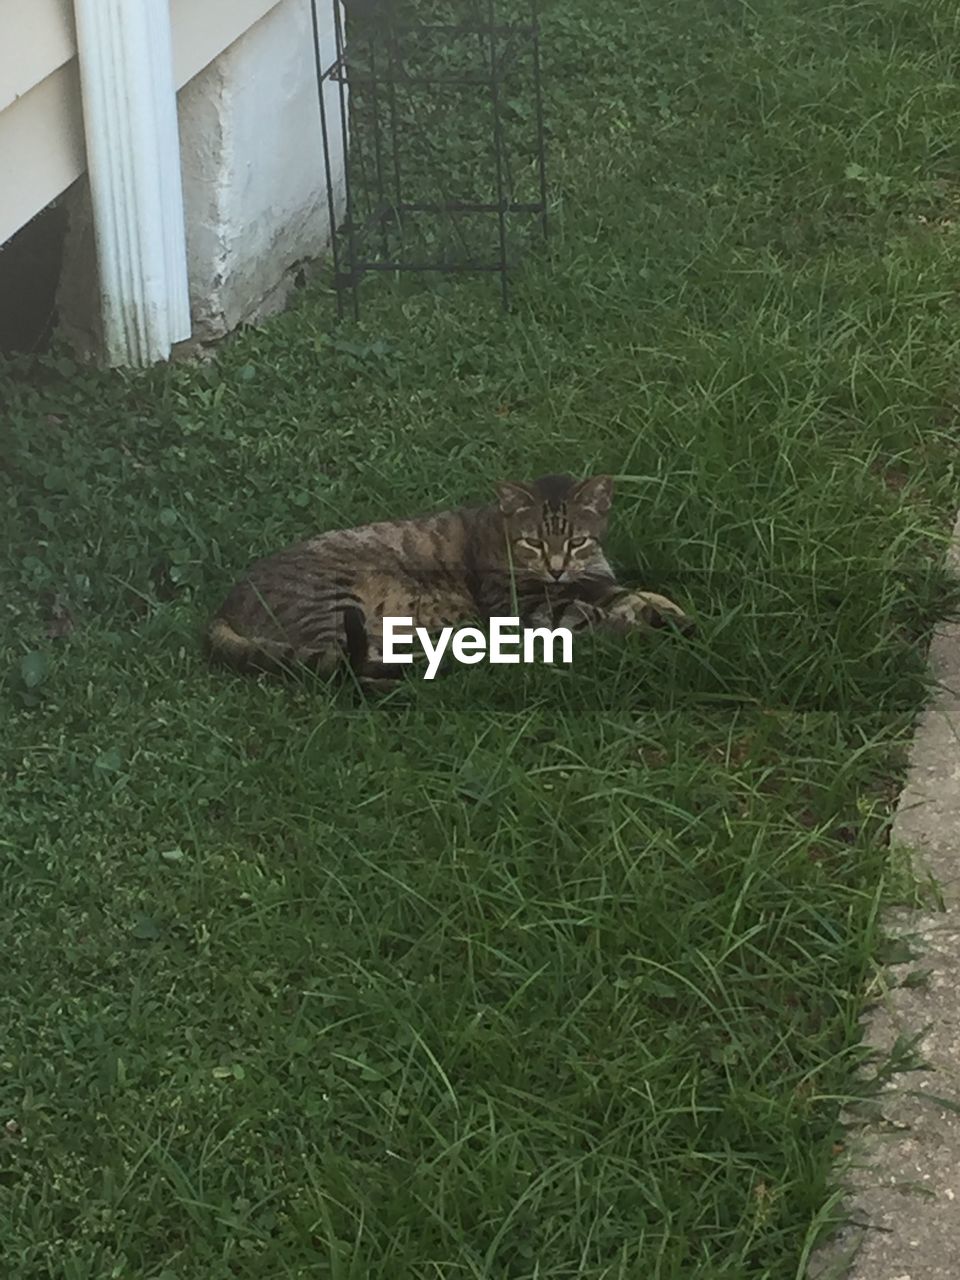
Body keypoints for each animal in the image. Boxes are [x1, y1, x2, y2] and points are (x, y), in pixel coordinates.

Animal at [207, 476, 696, 686]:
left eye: (576, 541)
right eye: (533, 542)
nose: (556, 567)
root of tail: (220, 609)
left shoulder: (591, 582)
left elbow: (636, 594)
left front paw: (671, 613)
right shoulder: (526, 604)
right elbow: (596, 615)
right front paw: (642, 632)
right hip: (331, 604)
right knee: (344, 667)